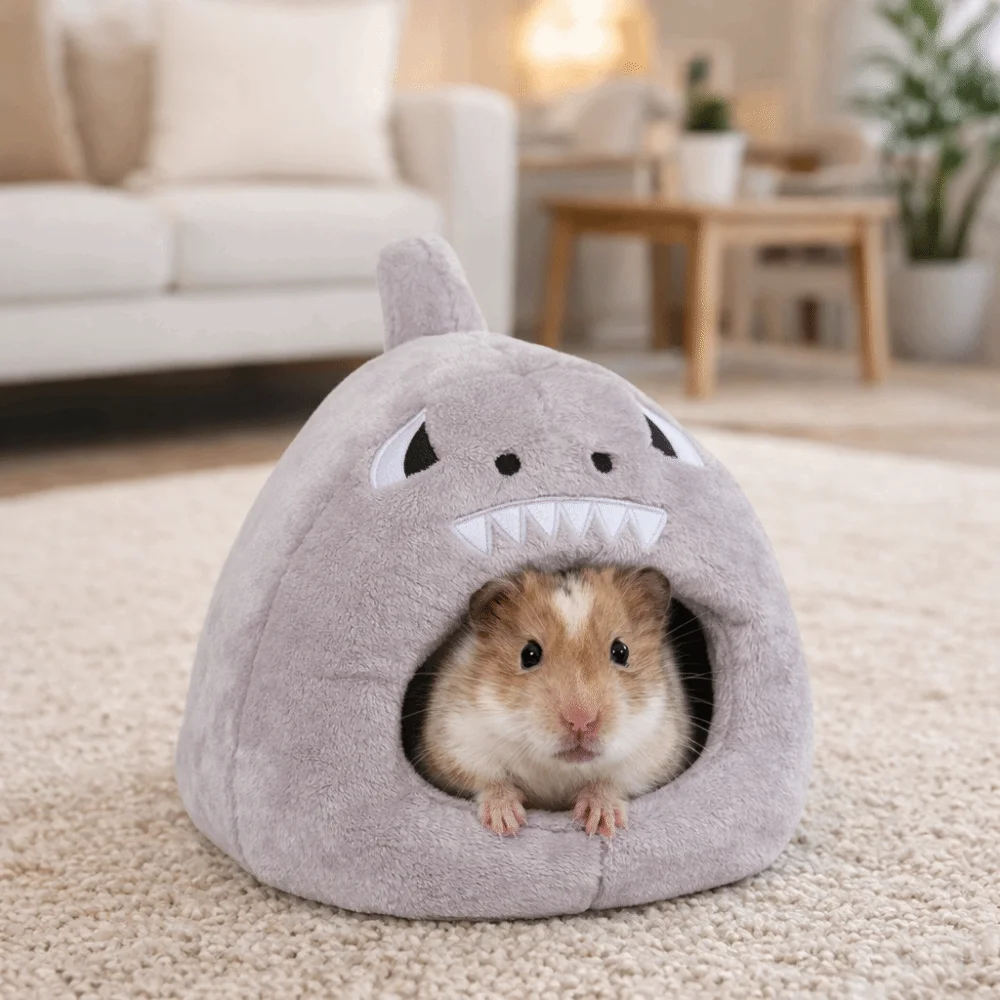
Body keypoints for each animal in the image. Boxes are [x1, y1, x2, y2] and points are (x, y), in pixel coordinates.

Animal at [419, 567, 693, 838]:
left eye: (621, 651)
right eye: (529, 654)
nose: (581, 722)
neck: (559, 769)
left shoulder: (656, 751)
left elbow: (611, 782)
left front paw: (601, 822)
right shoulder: (455, 741)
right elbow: (489, 780)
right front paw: (506, 824)